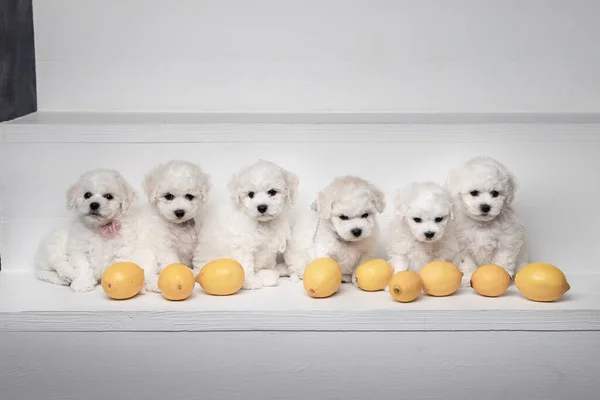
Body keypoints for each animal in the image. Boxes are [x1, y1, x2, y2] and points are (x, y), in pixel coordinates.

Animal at [138, 159, 211, 290]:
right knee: (146, 274)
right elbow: (172, 263)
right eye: (168, 196)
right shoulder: (166, 246)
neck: (179, 225)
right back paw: (155, 284)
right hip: (146, 254)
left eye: (189, 196)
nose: (179, 212)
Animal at [193, 160, 298, 290]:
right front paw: (250, 280)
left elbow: (269, 262)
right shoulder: (242, 244)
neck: (262, 224)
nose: (262, 207)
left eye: (272, 192)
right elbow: (246, 264)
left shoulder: (270, 247)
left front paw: (270, 272)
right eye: (251, 194)